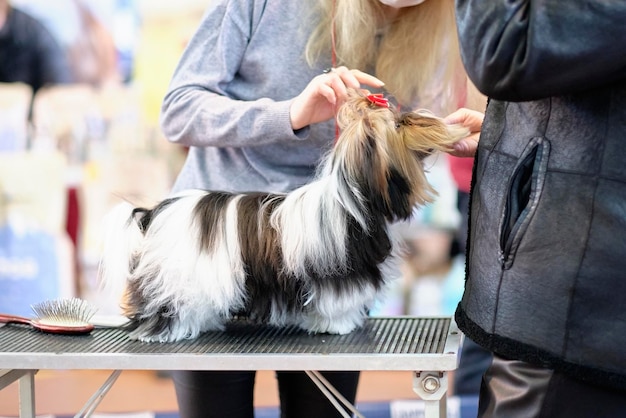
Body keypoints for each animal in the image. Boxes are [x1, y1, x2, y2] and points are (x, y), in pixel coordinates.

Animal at [98, 90, 468, 342]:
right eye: (399, 123)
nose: (419, 115)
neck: (350, 199)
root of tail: (152, 212)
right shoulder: (339, 275)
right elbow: (337, 303)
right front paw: (338, 325)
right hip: (176, 278)